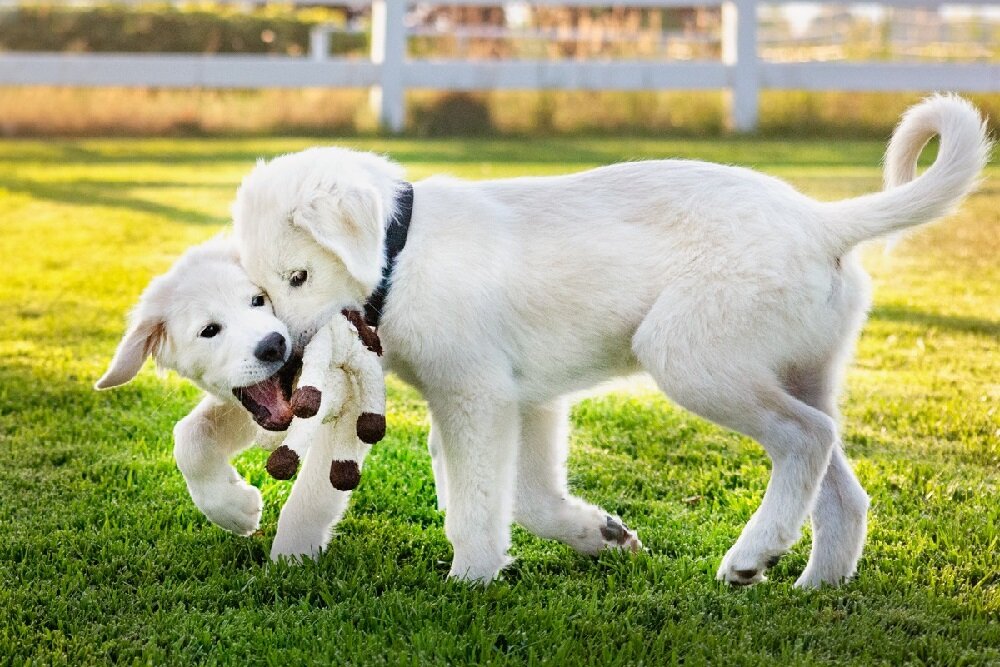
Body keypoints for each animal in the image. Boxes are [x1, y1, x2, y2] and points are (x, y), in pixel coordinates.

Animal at [94, 237, 364, 560]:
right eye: (209, 330)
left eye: (258, 301)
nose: (274, 345)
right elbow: (189, 436)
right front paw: (233, 509)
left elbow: (315, 490)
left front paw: (290, 557)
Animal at [232, 96, 992, 588]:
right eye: (259, 291)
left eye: (299, 277)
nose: (282, 365)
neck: (403, 248)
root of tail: (822, 222)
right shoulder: (528, 402)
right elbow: (527, 497)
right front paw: (599, 534)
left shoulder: (477, 397)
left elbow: (480, 500)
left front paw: (472, 579)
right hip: (804, 369)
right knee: (840, 478)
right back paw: (816, 584)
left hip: (690, 357)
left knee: (806, 438)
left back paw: (752, 555)